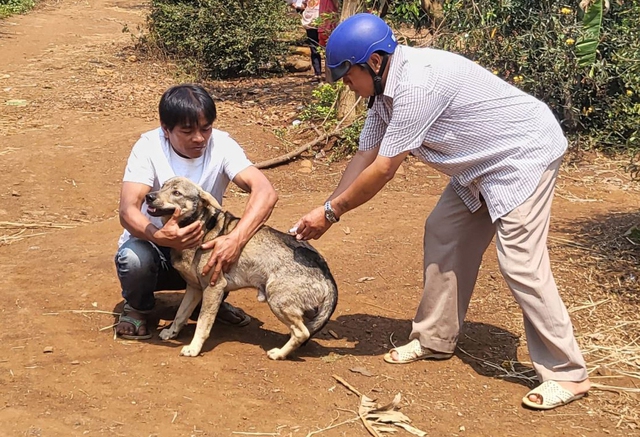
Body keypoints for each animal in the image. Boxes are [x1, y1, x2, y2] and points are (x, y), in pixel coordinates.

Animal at [143, 175, 338, 360]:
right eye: (163, 186)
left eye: (176, 193)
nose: (149, 196)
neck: (202, 228)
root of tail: (326, 271)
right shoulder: (194, 288)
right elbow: (180, 315)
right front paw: (172, 332)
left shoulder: (213, 288)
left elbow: (202, 324)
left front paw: (194, 348)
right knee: (306, 329)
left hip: (276, 300)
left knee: (302, 332)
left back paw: (279, 354)